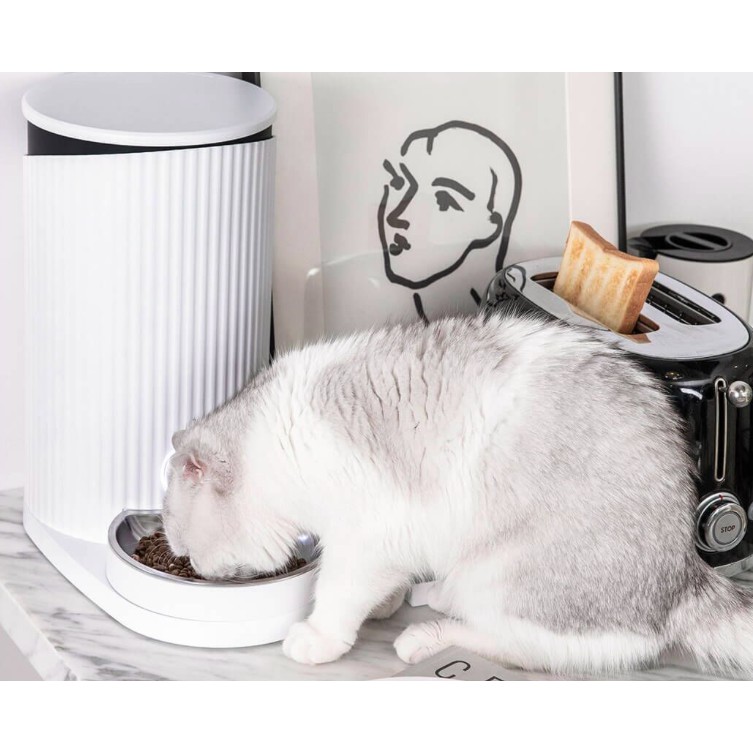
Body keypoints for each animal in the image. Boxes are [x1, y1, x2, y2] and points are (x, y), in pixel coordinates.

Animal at [162, 310, 753, 675]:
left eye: (185, 551)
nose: (196, 570)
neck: (277, 439)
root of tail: (683, 572)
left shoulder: (365, 539)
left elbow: (337, 594)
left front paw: (320, 637)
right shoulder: (387, 542)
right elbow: (375, 587)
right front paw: (385, 604)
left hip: (503, 573)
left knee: (535, 648)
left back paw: (428, 637)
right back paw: (433, 597)